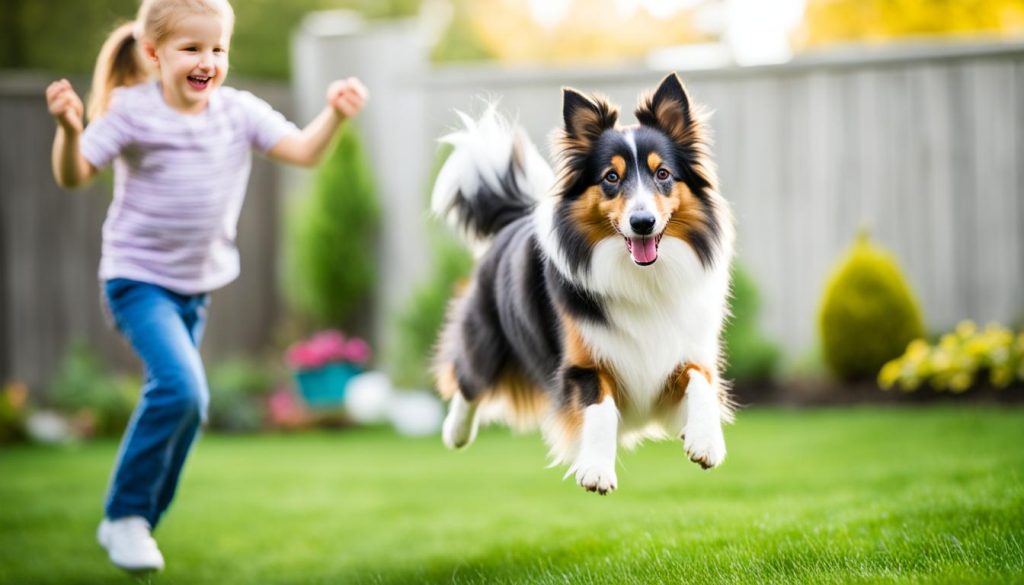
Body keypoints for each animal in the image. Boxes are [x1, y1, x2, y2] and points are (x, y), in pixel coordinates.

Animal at [428, 73, 733, 493]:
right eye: (611, 177)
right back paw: (455, 432)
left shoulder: (685, 351)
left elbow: (701, 382)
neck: (642, 277)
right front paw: (596, 470)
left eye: (663, 174)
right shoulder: (581, 365)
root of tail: (514, 220)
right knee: (468, 377)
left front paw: (705, 440)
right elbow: (600, 408)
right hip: (485, 336)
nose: (642, 223)